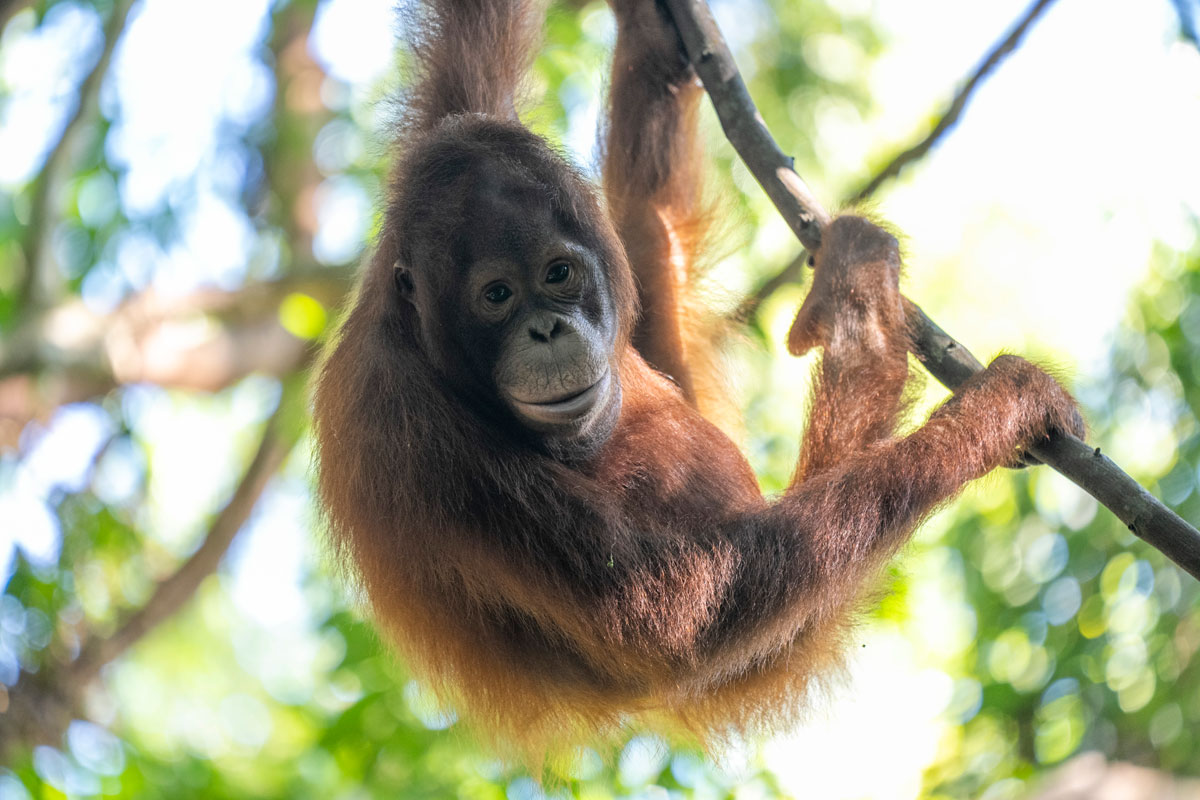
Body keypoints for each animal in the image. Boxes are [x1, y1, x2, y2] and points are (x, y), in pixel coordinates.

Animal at [311, 0, 1084, 764]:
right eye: (497, 295)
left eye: (558, 274)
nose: (547, 330)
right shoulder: (419, 438)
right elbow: (680, 613)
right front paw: (1000, 411)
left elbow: (470, 66)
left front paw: (650, 28)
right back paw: (863, 325)